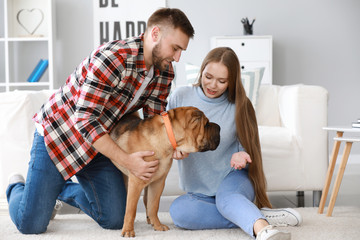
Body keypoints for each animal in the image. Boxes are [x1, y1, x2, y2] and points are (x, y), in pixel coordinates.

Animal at [109, 106, 221, 236]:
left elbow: (153, 205)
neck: (167, 138)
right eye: (206, 124)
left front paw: (158, 226)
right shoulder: (136, 182)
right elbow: (131, 209)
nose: (219, 127)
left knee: (146, 200)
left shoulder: (158, 182)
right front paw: (128, 231)